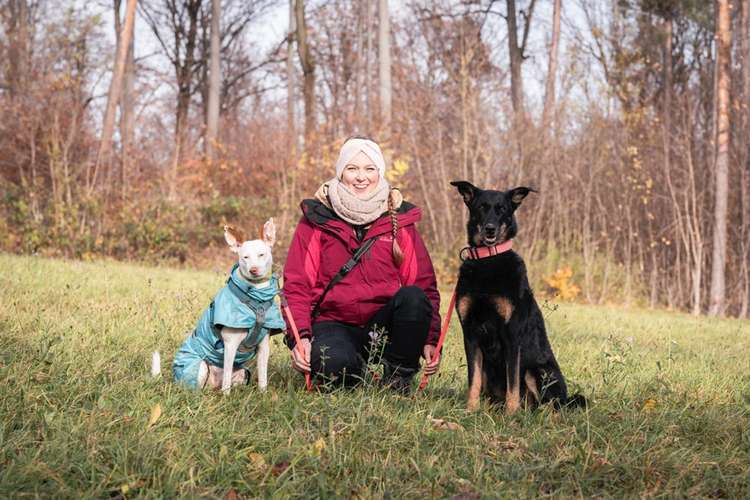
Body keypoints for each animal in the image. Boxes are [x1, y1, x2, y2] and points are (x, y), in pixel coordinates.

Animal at [157, 221, 286, 392]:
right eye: (245, 257)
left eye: (261, 254)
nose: (253, 270)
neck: (256, 297)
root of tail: (212, 386)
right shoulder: (230, 345)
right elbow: (226, 378)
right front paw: (227, 395)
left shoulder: (263, 347)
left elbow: (263, 377)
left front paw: (263, 394)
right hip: (201, 367)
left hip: (242, 373)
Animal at [452, 181, 588, 414]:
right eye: (481, 207)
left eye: (502, 209)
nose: (490, 228)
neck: (488, 260)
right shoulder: (470, 334)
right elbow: (473, 380)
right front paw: (470, 410)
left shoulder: (512, 334)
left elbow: (513, 382)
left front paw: (510, 414)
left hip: (539, 371)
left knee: (550, 404)